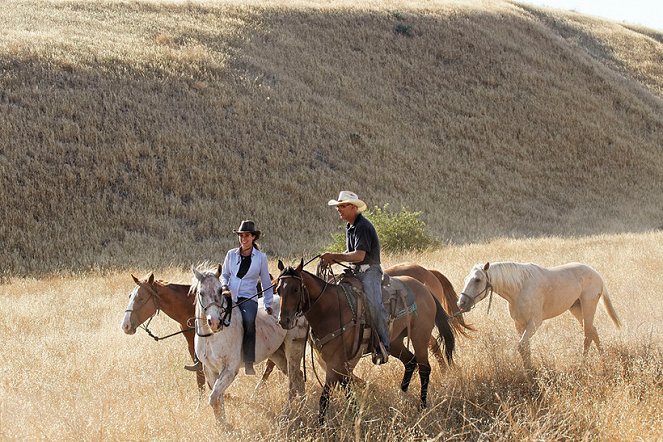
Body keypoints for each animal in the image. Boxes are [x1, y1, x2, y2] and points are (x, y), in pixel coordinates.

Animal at [189, 264, 308, 424]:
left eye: (220, 290)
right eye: (201, 293)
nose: (214, 322)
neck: (211, 337)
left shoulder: (229, 370)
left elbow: (214, 398)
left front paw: (226, 426)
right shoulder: (210, 370)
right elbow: (218, 399)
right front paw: (222, 424)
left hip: (293, 350)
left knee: (294, 378)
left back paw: (291, 413)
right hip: (277, 354)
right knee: (298, 377)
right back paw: (303, 408)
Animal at [274, 258, 456, 424]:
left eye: (296, 289)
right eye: (277, 290)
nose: (284, 320)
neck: (330, 309)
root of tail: (425, 288)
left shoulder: (335, 362)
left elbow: (325, 397)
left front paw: (323, 426)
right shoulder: (338, 363)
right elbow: (347, 390)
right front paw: (355, 416)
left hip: (420, 336)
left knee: (425, 368)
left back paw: (422, 405)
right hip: (395, 342)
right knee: (410, 361)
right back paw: (402, 396)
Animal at [460, 260, 620, 368]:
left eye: (477, 280)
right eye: (465, 279)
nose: (461, 303)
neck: (519, 288)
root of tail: (597, 274)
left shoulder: (535, 323)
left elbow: (521, 346)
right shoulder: (519, 324)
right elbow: (525, 348)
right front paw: (529, 371)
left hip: (588, 307)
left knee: (587, 335)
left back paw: (582, 365)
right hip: (576, 308)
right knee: (593, 331)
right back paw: (603, 359)